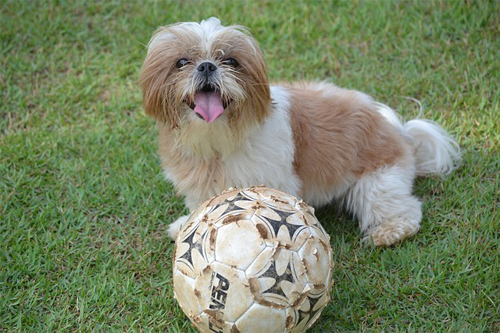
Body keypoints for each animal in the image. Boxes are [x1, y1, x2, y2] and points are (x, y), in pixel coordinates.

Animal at [139, 17, 458, 246]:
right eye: (181, 62)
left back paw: (390, 232)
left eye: (230, 61)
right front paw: (188, 224)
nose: (207, 66)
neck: (218, 139)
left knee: (402, 208)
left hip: (379, 180)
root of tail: (400, 131)